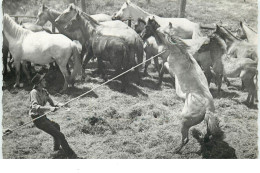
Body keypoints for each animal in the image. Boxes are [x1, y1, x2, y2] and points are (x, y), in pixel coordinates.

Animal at [147, 24, 220, 153]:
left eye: (162, 31)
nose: (156, 29)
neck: (180, 52)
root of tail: (207, 109)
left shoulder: (170, 64)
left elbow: (164, 66)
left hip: (184, 122)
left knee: (185, 139)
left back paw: (176, 149)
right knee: (207, 133)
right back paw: (203, 138)